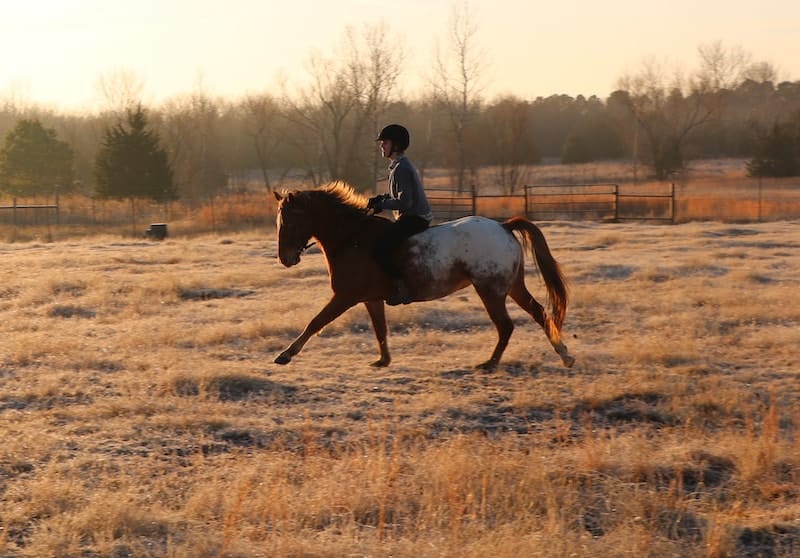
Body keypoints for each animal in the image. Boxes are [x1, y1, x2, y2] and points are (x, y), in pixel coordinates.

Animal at [272, 182, 574, 370]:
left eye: (289, 221)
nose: (285, 259)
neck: (351, 238)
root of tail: (503, 227)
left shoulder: (345, 296)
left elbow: (315, 322)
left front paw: (285, 355)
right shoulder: (370, 299)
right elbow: (379, 329)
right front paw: (383, 361)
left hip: (490, 290)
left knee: (506, 326)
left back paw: (489, 364)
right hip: (511, 287)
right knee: (539, 313)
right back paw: (565, 356)